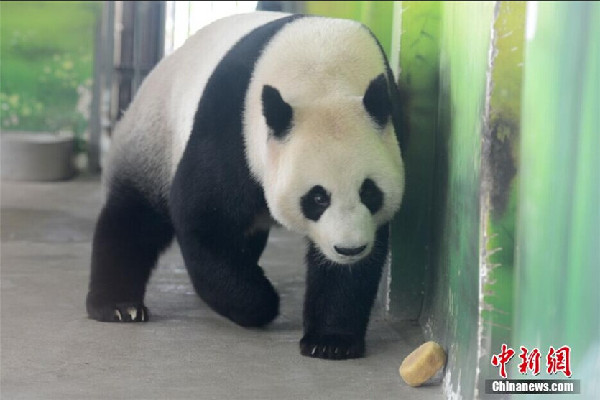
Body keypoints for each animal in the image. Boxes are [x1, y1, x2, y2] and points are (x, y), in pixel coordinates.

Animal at [86, 11, 406, 360]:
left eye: (369, 192)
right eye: (318, 197)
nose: (349, 249)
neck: (323, 73)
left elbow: (357, 263)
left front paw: (331, 341)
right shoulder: (231, 128)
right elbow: (204, 219)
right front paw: (259, 303)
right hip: (154, 137)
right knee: (134, 219)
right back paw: (119, 306)